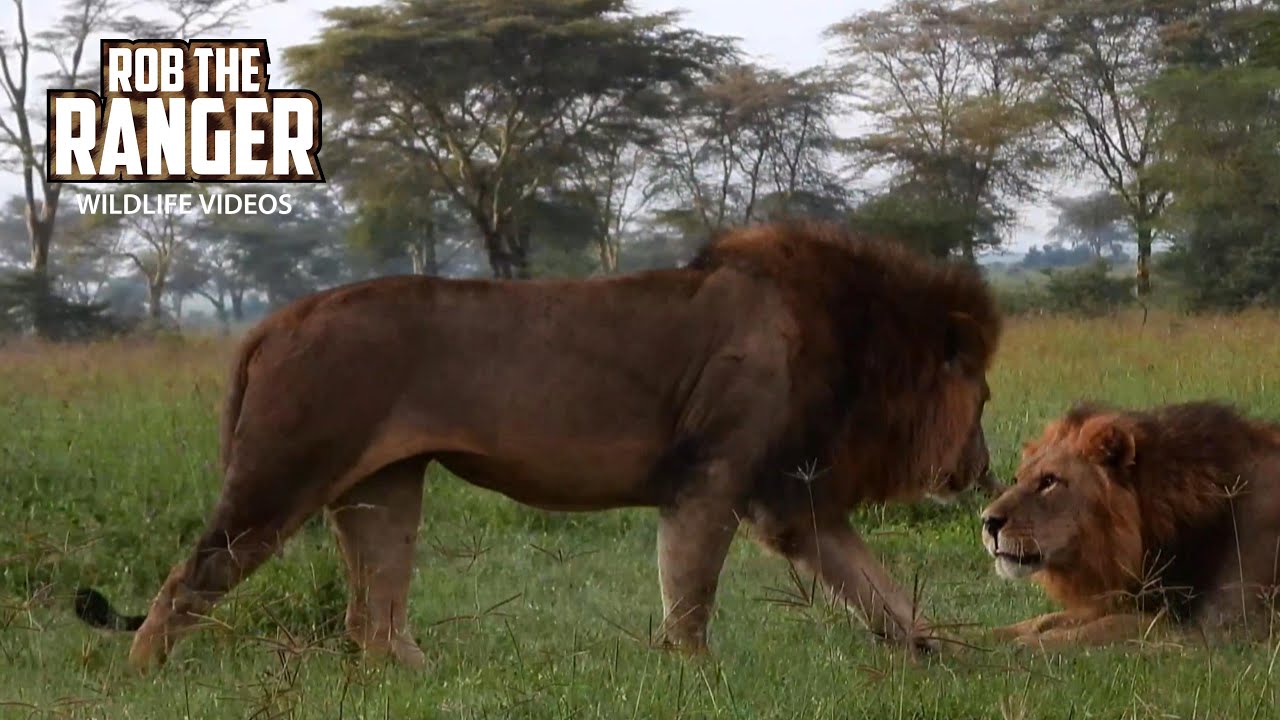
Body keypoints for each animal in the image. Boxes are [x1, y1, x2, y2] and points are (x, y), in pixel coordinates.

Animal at [74, 221, 1001, 671]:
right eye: (986, 397)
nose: (984, 474)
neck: (860, 344)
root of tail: (278, 317)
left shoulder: (793, 498)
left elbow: (881, 592)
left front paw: (954, 659)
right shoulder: (715, 474)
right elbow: (692, 593)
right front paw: (694, 675)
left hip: (385, 487)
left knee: (371, 618)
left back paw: (427, 682)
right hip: (282, 472)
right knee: (187, 580)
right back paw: (140, 677)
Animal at [980, 402, 1280, 649]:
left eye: (1049, 481)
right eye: (1017, 479)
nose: (987, 521)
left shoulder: (1227, 626)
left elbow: (1111, 626)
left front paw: (1024, 647)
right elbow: (1042, 620)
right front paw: (976, 640)